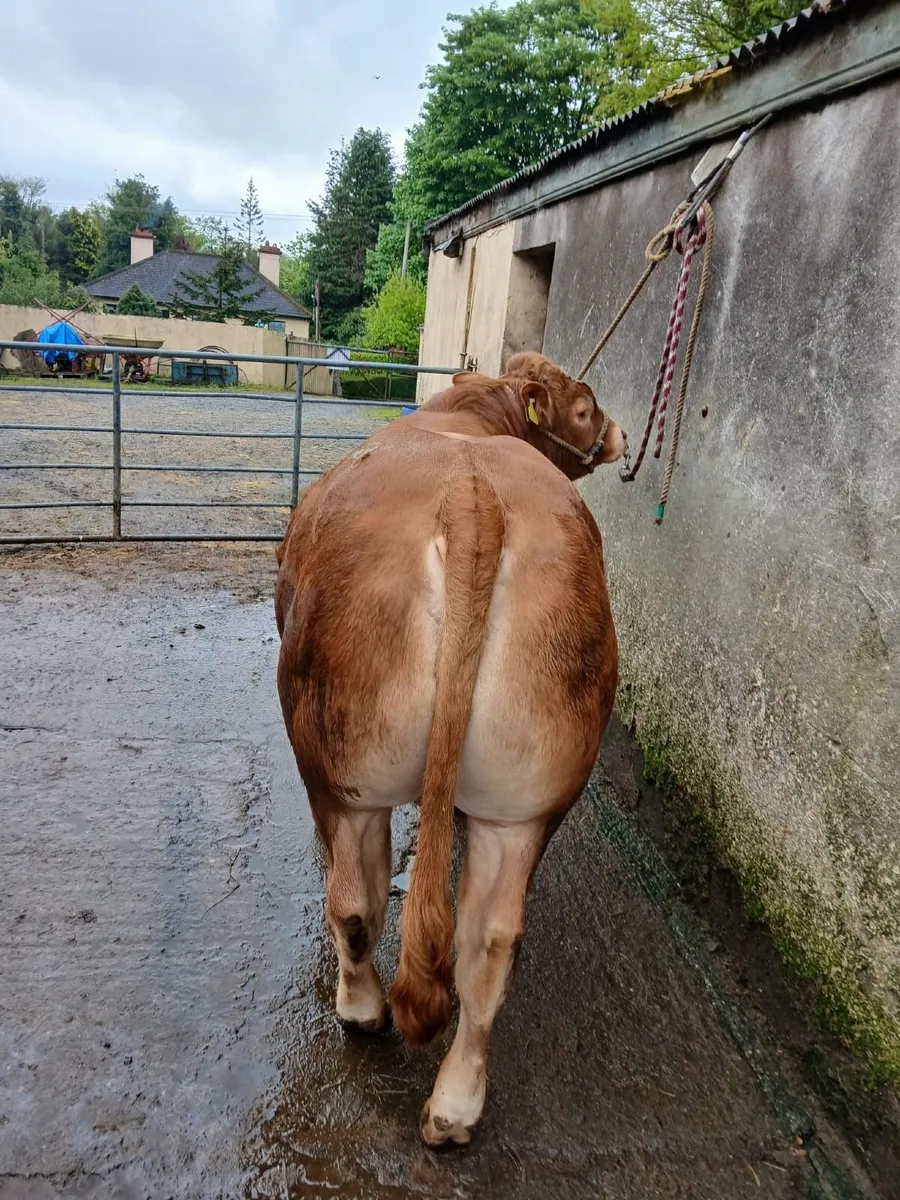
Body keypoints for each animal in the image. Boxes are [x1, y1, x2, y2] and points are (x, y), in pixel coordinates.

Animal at [274, 353, 627, 1146]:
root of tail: (473, 498)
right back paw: (455, 1107)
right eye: (585, 406)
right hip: (527, 797)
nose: (621, 434)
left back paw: (362, 1011)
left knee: (355, 903)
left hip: (338, 770)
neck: (474, 414)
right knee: (488, 945)